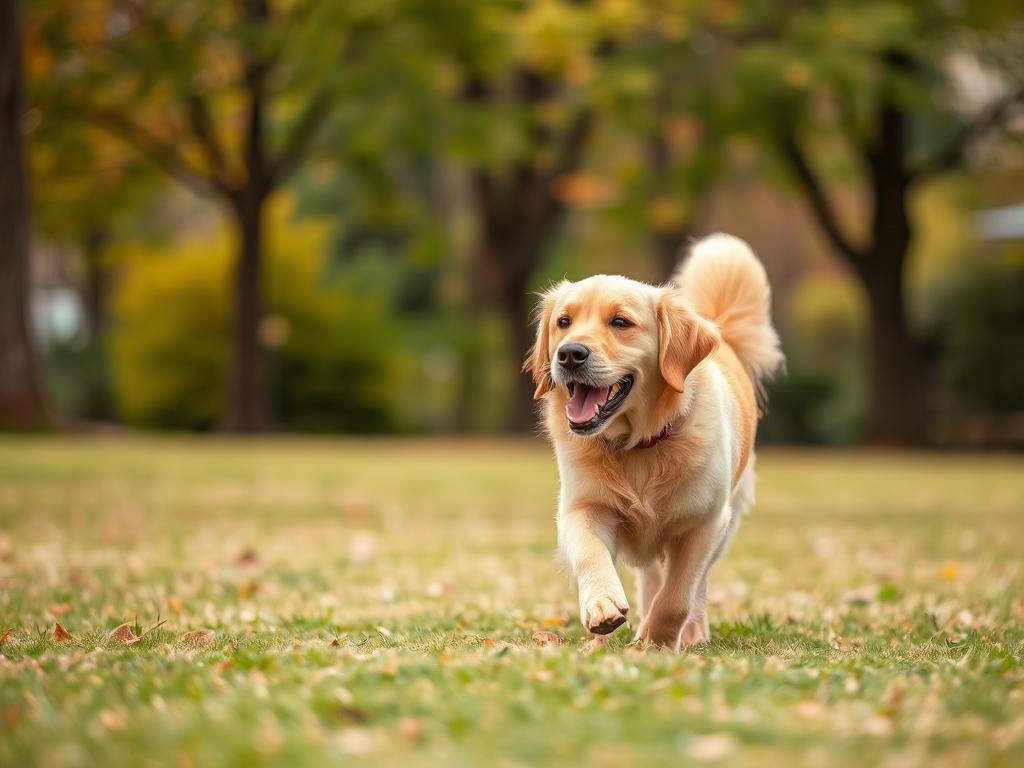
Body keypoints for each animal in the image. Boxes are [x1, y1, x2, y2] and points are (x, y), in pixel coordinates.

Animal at [524, 233, 778, 651]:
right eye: (564, 322)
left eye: (620, 322)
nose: (569, 353)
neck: (639, 447)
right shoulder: (583, 507)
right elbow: (591, 553)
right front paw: (602, 604)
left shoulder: (705, 524)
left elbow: (677, 597)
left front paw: (655, 643)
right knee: (650, 578)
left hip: (728, 519)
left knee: (692, 588)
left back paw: (691, 632)